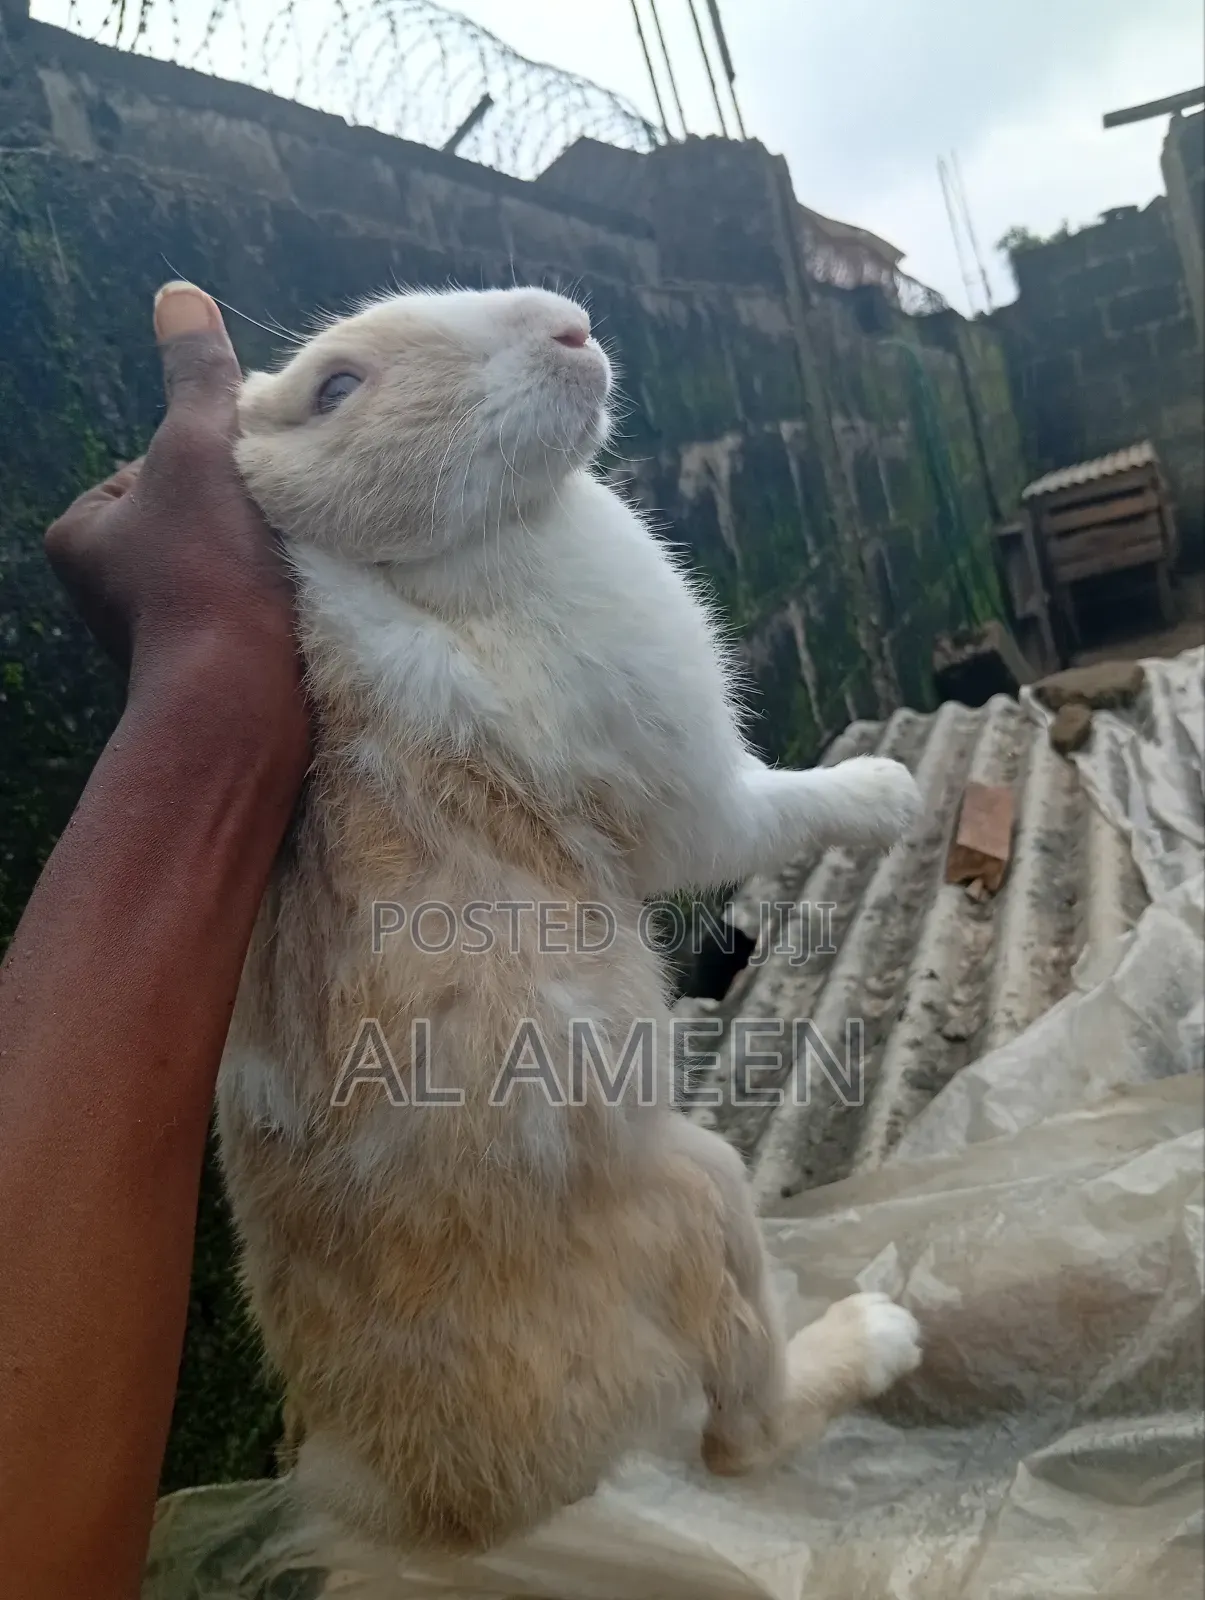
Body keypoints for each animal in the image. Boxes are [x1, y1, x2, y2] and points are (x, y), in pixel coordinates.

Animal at [218, 284, 924, 1554]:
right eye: (335, 389)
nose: (570, 323)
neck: (424, 571)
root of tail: (453, 1507)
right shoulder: (693, 794)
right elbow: (770, 806)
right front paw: (891, 792)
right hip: (706, 1197)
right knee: (743, 1434)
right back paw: (875, 1335)